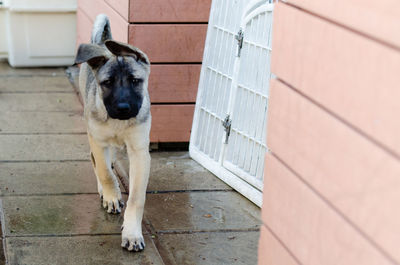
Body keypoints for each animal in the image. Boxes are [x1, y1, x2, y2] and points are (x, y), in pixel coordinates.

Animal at [74, 13, 151, 250]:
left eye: (135, 81)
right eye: (107, 83)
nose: (123, 108)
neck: (118, 123)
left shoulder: (139, 153)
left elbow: (136, 198)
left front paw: (132, 233)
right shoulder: (98, 142)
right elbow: (106, 173)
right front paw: (111, 195)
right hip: (92, 135)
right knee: (98, 164)